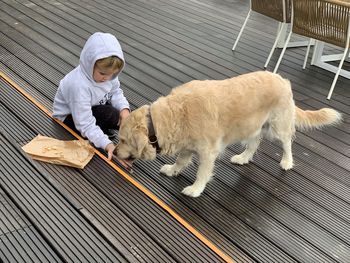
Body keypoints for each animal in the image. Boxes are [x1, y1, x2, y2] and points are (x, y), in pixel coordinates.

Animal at [115, 71, 342, 197]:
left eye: (124, 140)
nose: (114, 152)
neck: (175, 114)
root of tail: (283, 80)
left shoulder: (208, 151)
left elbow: (202, 173)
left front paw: (195, 189)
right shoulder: (188, 145)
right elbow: (181, 160)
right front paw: (172, 170)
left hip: (279, 124)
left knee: (287, 142)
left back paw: (287, 162)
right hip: (253, 126)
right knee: (254, 143)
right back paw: (243, 158)